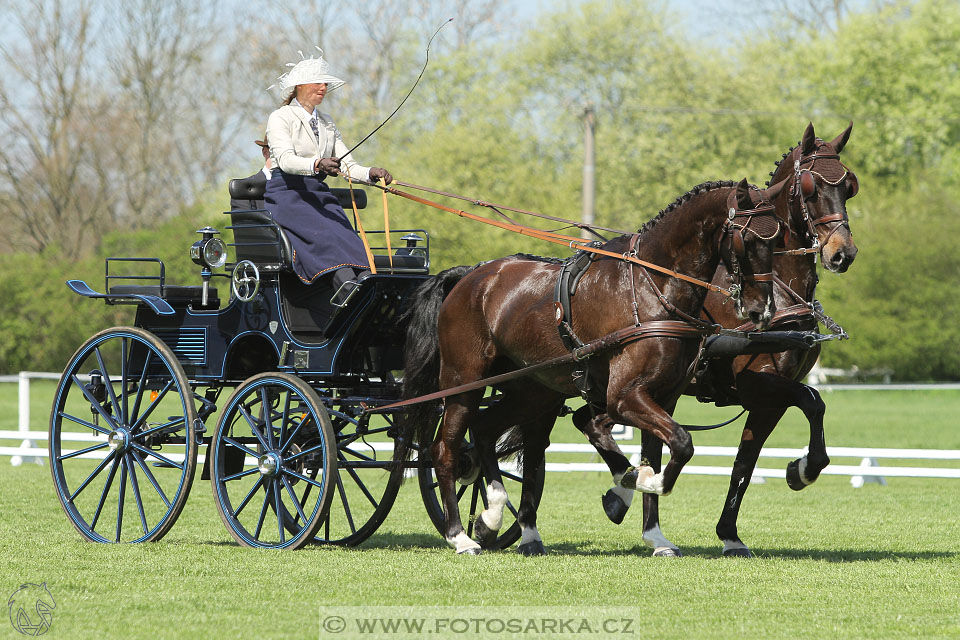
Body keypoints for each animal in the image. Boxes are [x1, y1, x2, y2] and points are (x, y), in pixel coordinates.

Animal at [398, 178, 788, 552]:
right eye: (746, 240)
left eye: (778, 238)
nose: (762, 311)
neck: (652, 288)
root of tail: (470, 276)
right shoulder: (624, 397)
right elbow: (681, 442)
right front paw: (641, 481)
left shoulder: (663, 397)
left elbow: (659, 451)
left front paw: (655, 534)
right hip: (464, 381)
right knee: (445, 449)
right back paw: (459, 536)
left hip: (531, 392)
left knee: (484, 430)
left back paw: (492, 516)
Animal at [584, 122, 864, 556]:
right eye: (811, 186)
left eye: (849, 186)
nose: (842, 254)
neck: (777, 290)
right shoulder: (754, 384)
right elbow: (812, 399)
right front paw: (801, 470)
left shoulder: (770, 400)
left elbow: (745, 463)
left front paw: (731, 532)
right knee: (599, 425)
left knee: (602, 426)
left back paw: (633, 504)